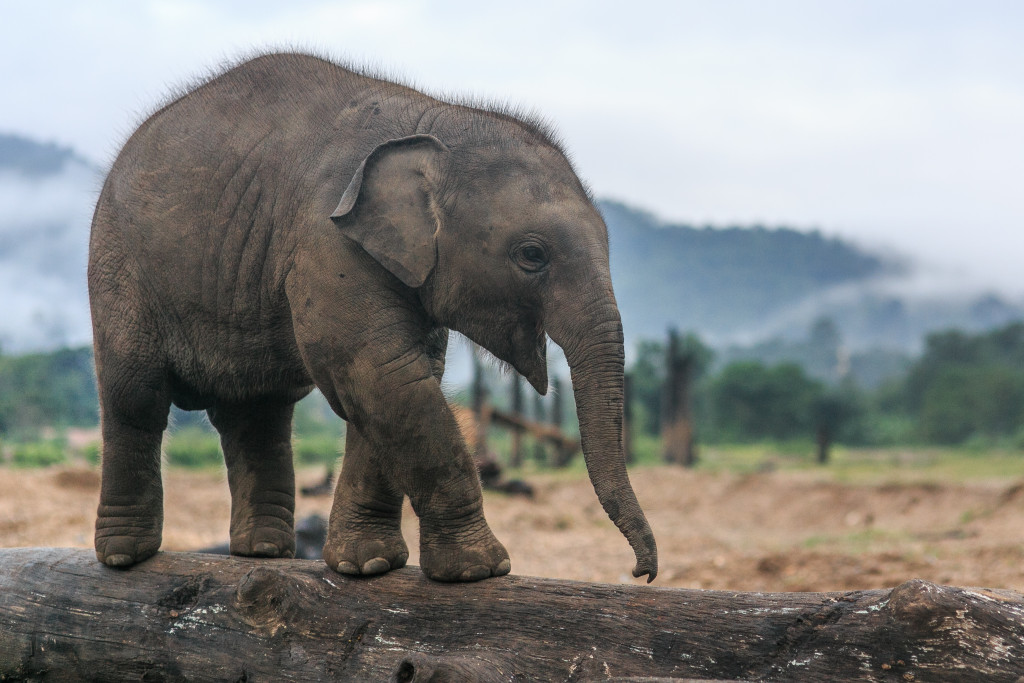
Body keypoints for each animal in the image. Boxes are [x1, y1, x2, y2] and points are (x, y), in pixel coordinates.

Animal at [92, 53, 659, 585]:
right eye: (532, 254)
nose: (643, 572)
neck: (436, 116)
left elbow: (394, 382)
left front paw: (369, 566)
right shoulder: (327, 242)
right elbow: (381, 374)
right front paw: (480, 570)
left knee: (256, 415)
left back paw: (263, 553)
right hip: (118, 269)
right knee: (135, 397)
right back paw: (125, 557)